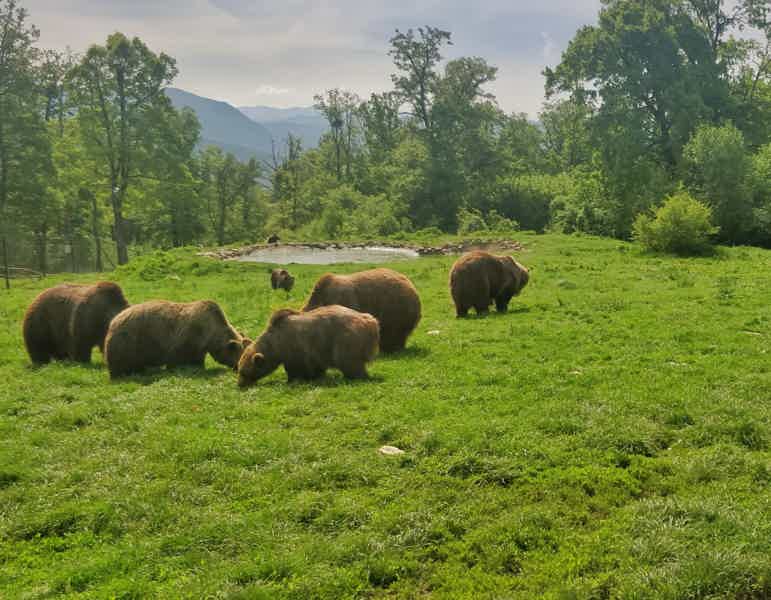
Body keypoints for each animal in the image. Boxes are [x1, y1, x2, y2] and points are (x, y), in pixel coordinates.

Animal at [103, 300, 249, 378]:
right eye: (241, 356)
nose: (238, 369)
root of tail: (113, 321)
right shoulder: (186, 339)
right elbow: (177, 359)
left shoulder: (199, 347)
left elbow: (197, 360)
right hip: (129, 343)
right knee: (122, 364)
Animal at [237, 305, 379, 386]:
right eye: (239, 369)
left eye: (244, 372)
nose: (240, 384)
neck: (275, 344)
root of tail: (371, 321)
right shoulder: (315, 351)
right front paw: (316, 376)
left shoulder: (295, 348)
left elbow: (296, 368)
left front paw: (294, 380)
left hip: (345, 338)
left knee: (348, 361)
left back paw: (355, 377)